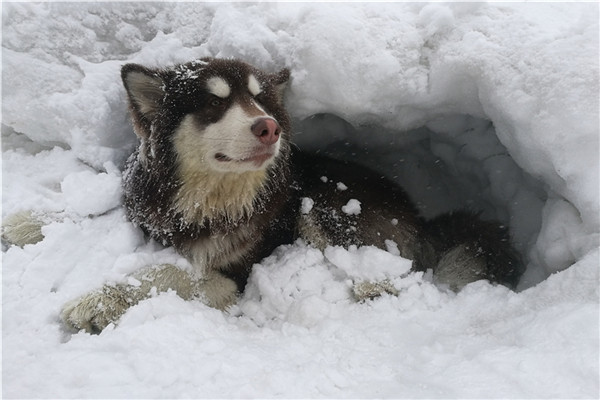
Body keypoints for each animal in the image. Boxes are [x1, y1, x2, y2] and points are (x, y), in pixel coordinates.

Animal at [2, 57, 524, 332]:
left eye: (259, 100)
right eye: (212, 103)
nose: (269, 126)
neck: (204, 200)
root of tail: (419, 214)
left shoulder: (231, 269)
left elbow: (171, 273)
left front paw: (99, 300)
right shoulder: (143, 209)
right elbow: (92, 211)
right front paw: (25, 222)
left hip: (327, 207)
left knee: (384, 282)